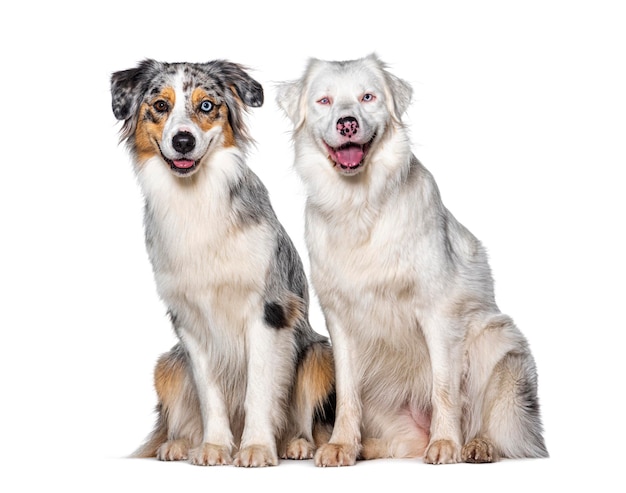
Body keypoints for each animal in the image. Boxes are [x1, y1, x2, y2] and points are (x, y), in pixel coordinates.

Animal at [109, 59, 334, 468]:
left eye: (207, 106)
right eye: (161, 106)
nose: (183, 141)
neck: (194, 198)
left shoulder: (268, 310)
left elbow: (260, 388)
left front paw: (257, 447)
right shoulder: (190, 321)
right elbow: (209, 393)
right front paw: (214, 447)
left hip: (319, 354)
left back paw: (295, 443)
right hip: (167, 366)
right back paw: (180, 444)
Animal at [276, 54, 544, 466]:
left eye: (368, 97)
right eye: (324, 100)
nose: (347, 122)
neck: (360, 203)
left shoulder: (438, 313)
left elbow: (444, 386)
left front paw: (446, 443)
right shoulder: (340, 320)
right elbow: (347, 393)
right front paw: (341, 444)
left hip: (500, 346)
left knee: (497, 425)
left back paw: (475, 445)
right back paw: (365, 446)